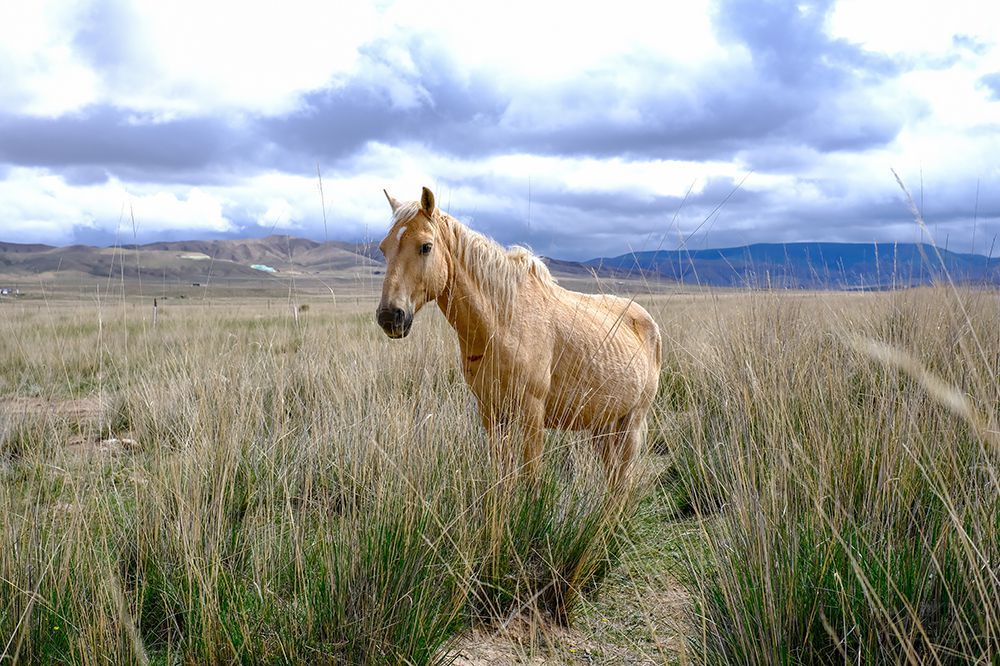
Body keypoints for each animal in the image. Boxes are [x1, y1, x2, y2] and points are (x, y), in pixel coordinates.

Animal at [376, 187, 664, 482]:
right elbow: (503, 476)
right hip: (603, 423)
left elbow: (531, 478)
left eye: (426, 246)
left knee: (623, 478)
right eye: (384, 248)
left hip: (631, 422)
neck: (503, 323)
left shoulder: (532, 415)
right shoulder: (491, 413)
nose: (390, 316)